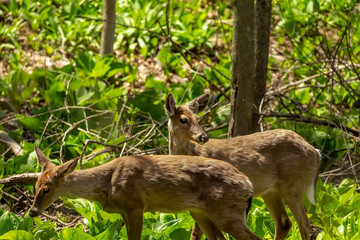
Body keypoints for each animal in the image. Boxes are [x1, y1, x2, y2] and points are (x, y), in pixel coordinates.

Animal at [28, 146, 262, 240]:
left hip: (227, 212)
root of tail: (249, 185)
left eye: (47, 189)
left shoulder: (136, 206)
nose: (32, 212)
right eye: (35, 185)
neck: (106, 183)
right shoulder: (124, 212)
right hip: (200, 213)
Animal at [165, 93, 322, 240]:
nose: (203, 137)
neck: (191, 152)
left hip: (293, 186)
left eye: (197, 118)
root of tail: (316, 152)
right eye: (183, 119)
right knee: (284, 222)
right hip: (271, 191)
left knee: (304, 223)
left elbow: (196, 233)